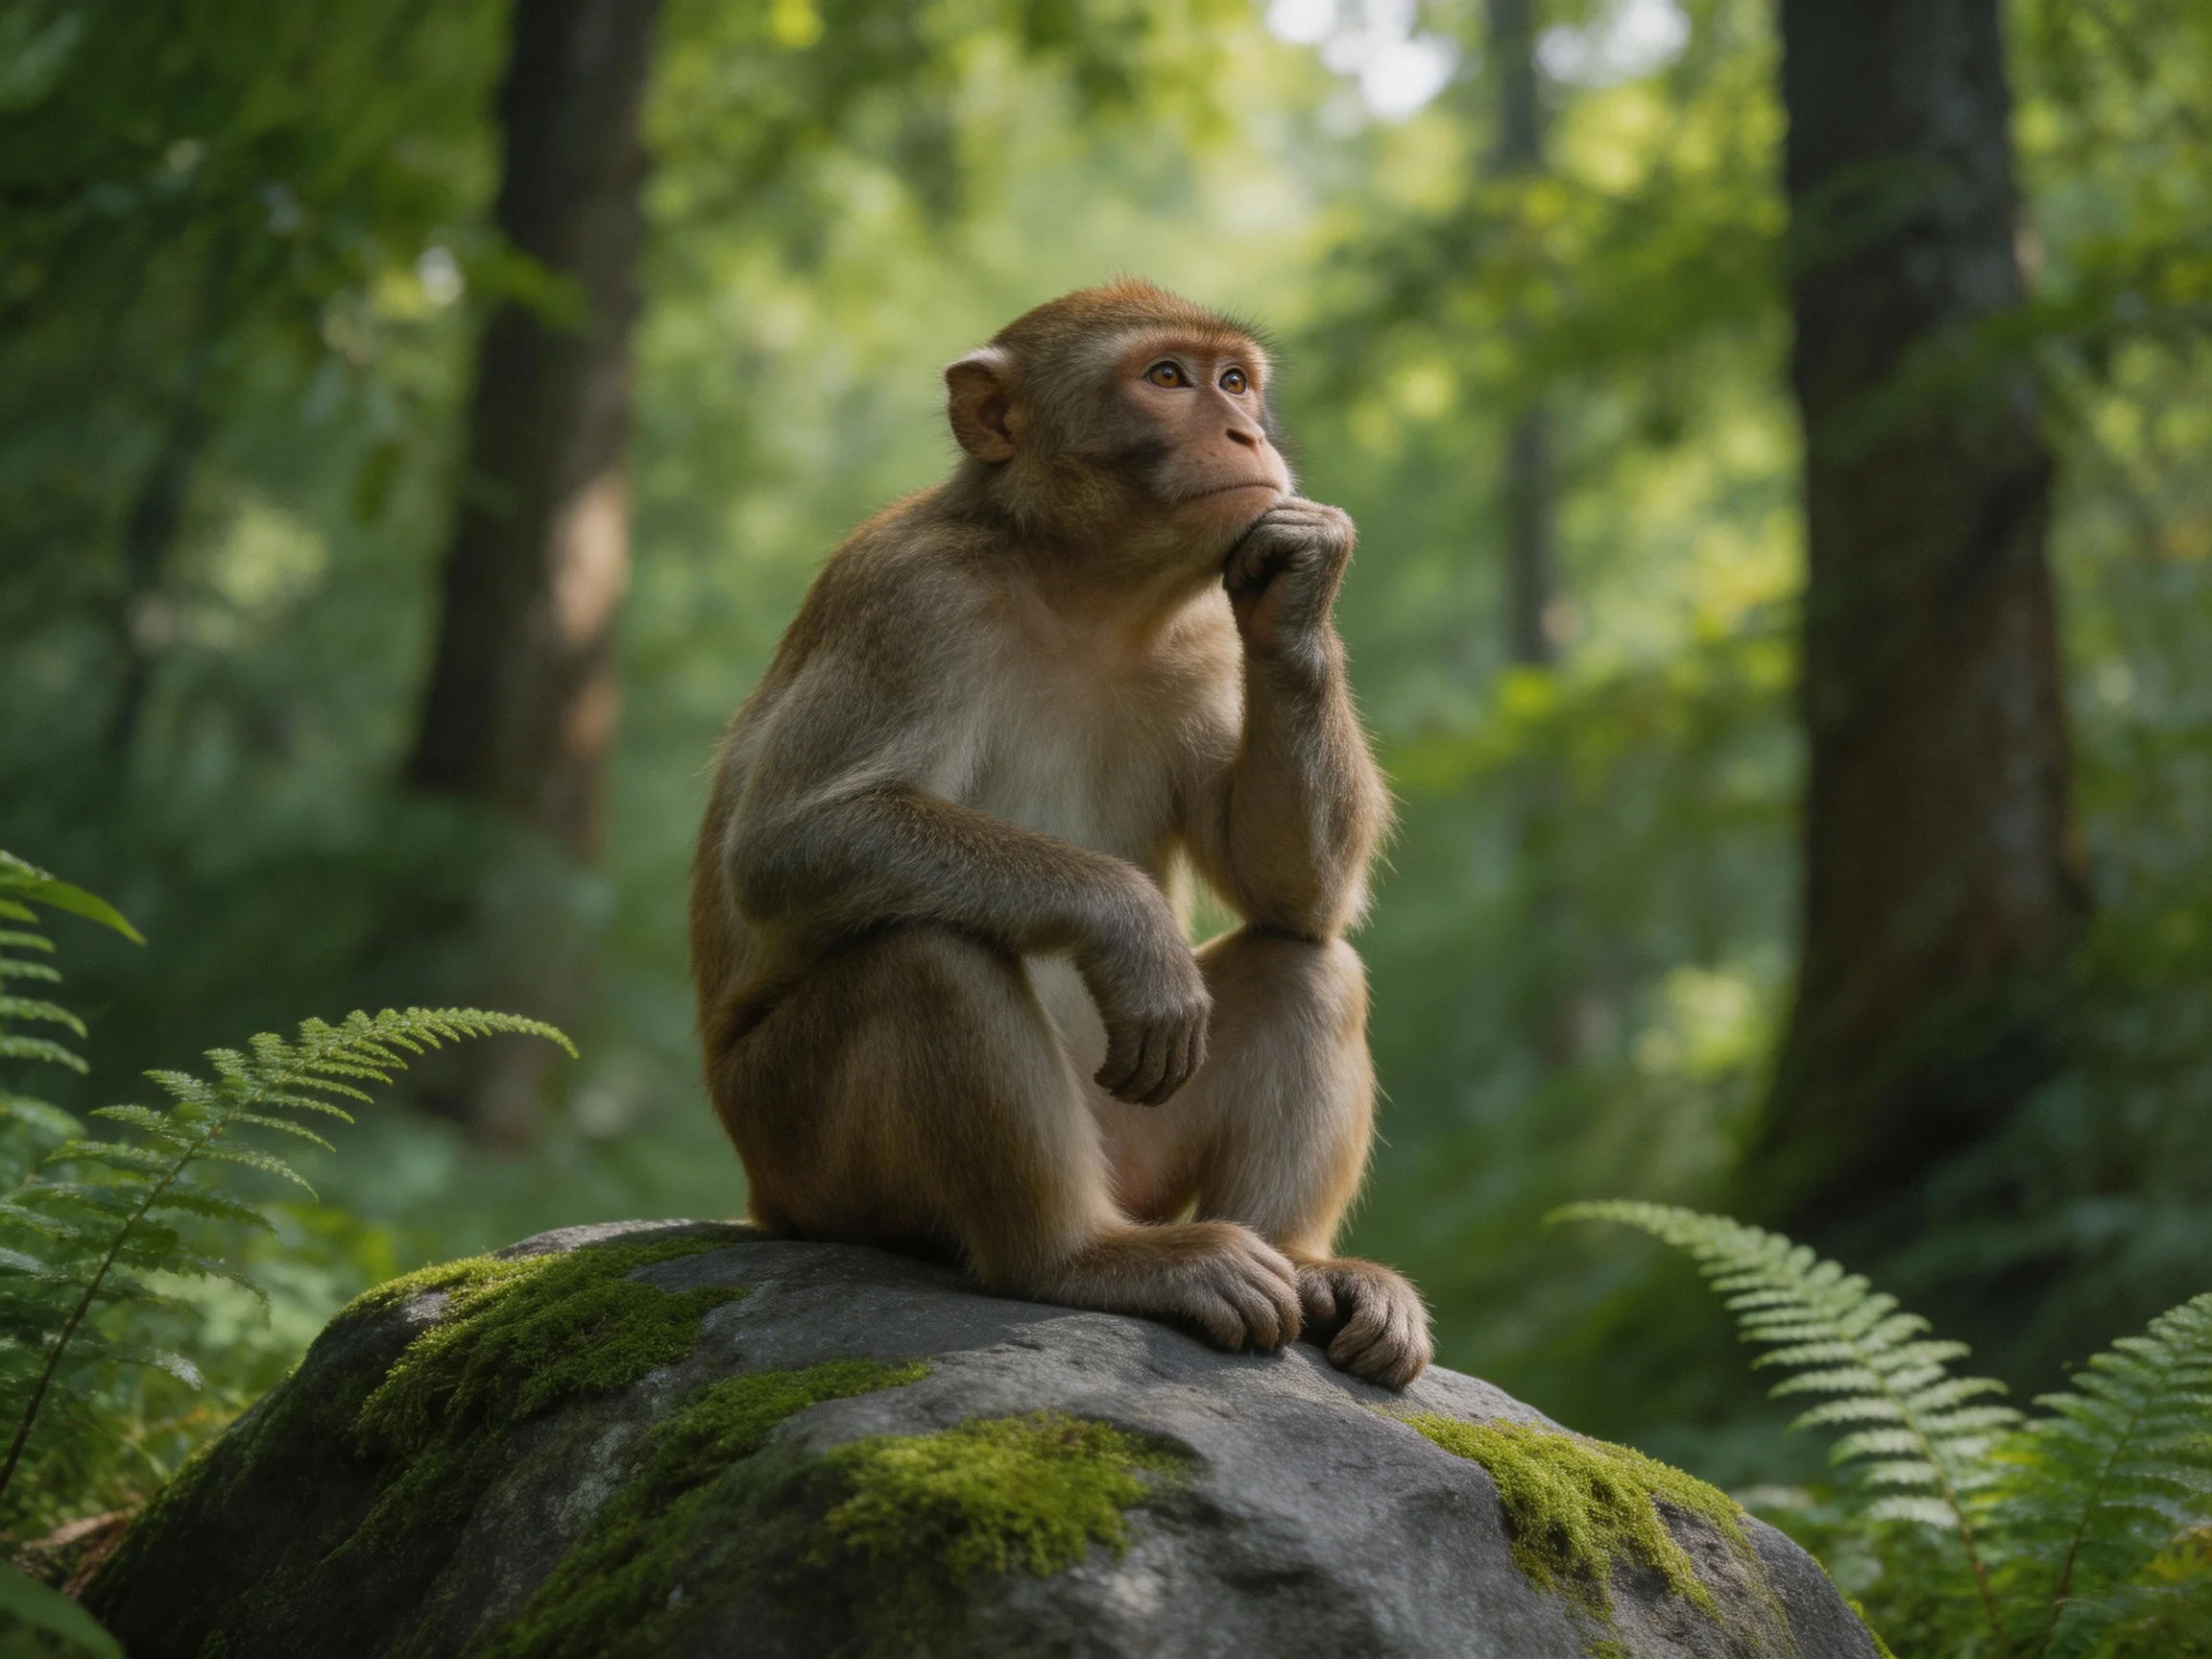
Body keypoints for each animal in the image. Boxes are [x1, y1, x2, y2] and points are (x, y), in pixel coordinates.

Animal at [688, 278, 1431, 1389]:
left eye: (1234, 380)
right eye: (1166, 378)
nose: (1248, 432)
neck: (1084, 591)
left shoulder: (1206, 638)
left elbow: (1289, 894)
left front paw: (1303, 584)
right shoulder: (913, 597)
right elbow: (788, 843)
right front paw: (1129, 924)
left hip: (1137, 1143)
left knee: (1309, 962)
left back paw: (1304, 1265)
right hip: (802, 1151)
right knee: (928, 956)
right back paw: (1077, 1259)